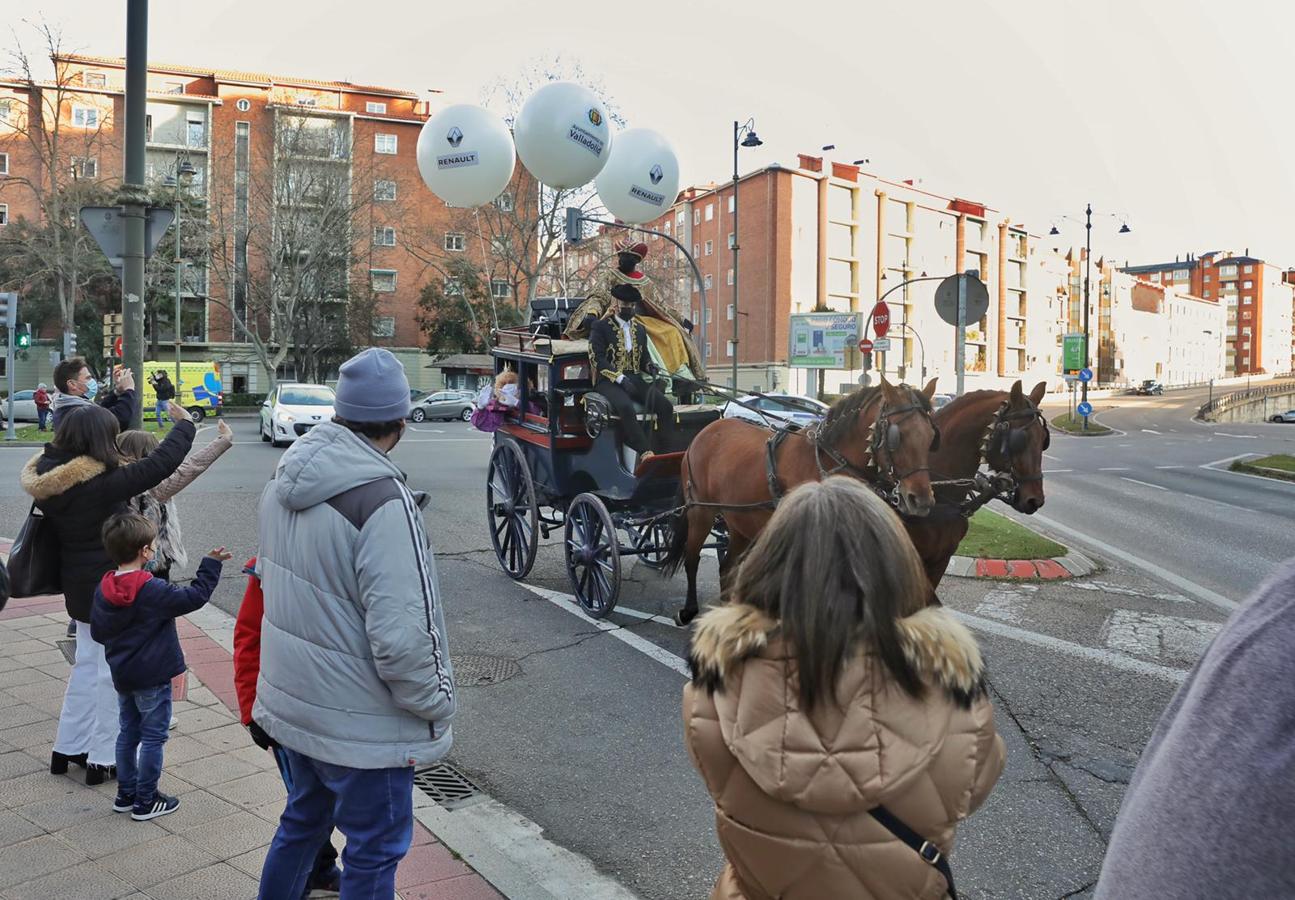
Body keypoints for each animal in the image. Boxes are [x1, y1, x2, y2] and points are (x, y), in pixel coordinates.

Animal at [663, 375, 937, 624]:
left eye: (930, 436)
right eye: (897, 436)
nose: (920, 500)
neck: (826, 461)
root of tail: (706, 432)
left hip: (738, 519)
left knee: (727, 567)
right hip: (700, 511)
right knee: (692, 557)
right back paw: (688, 610)